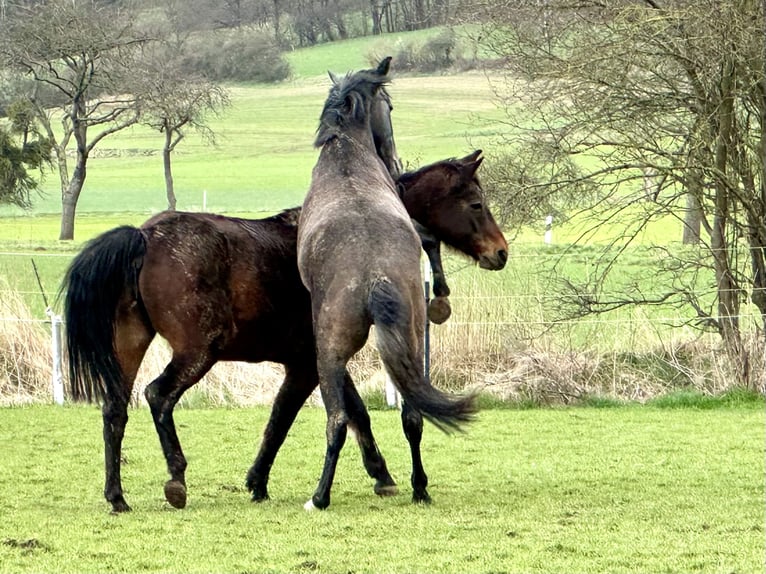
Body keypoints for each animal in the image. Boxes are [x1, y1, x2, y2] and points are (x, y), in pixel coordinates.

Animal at [60, 148, 510, 512]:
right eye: (476, 203)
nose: (500, 252)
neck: (362, 221)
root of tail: (144, 236)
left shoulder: (315, 360)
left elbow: (344, 414)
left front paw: (378, 475)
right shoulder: (308, 366)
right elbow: (287, 419)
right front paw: (263, 481)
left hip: (130, 345)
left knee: (115, 409)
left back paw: (117, 497)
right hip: (197, 354)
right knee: (157, 396)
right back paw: (176, 479)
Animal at [298, 57, 484, 512]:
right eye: (391, 108)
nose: (394, 159)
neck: (345, 154)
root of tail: (373, 278)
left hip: (329, 352)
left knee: (337, 420)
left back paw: (321, 496)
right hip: (403, 341)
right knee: (411, 415)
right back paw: (419, 487)